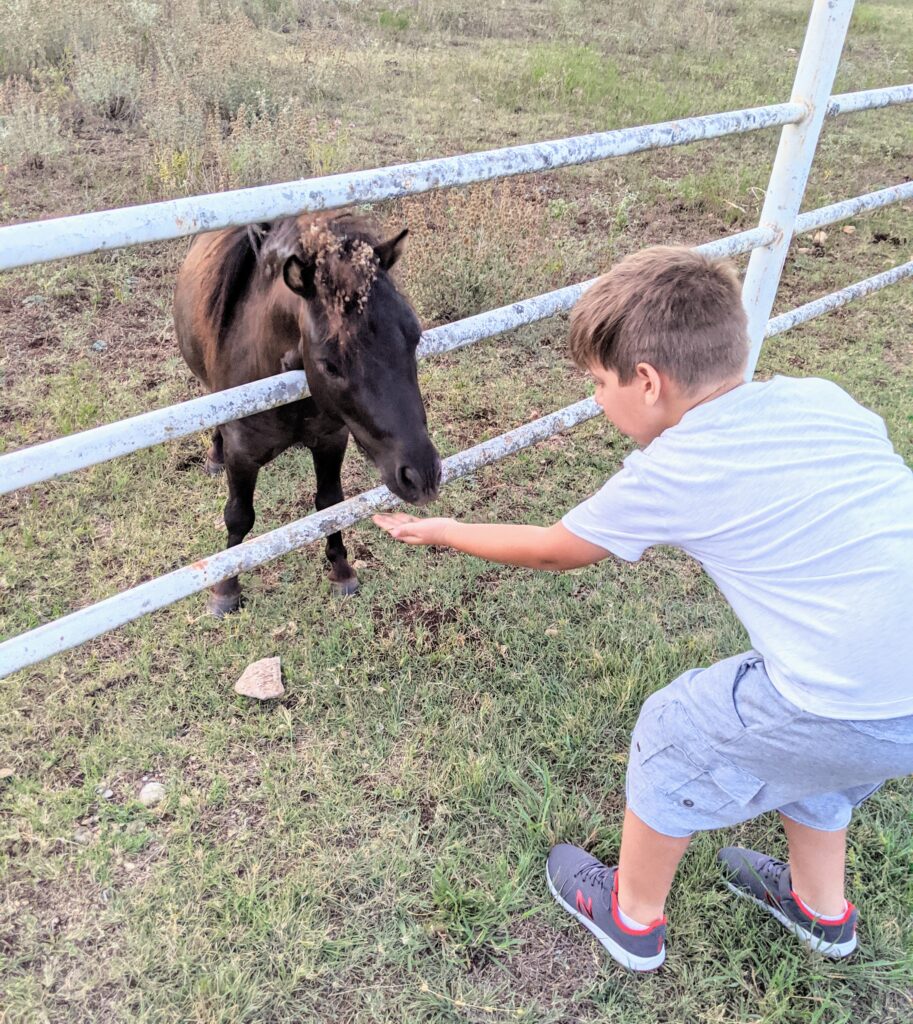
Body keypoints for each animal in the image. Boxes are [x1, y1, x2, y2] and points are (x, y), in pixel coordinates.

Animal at [176, 214, 442, 614]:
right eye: (330, 364)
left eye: (415, 337)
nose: (422, 475)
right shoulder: (243, 455)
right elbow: (238, 516)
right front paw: (226, 590)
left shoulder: (331, 439)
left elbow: (329, 504)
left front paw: (342, 570)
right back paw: (214, 456)